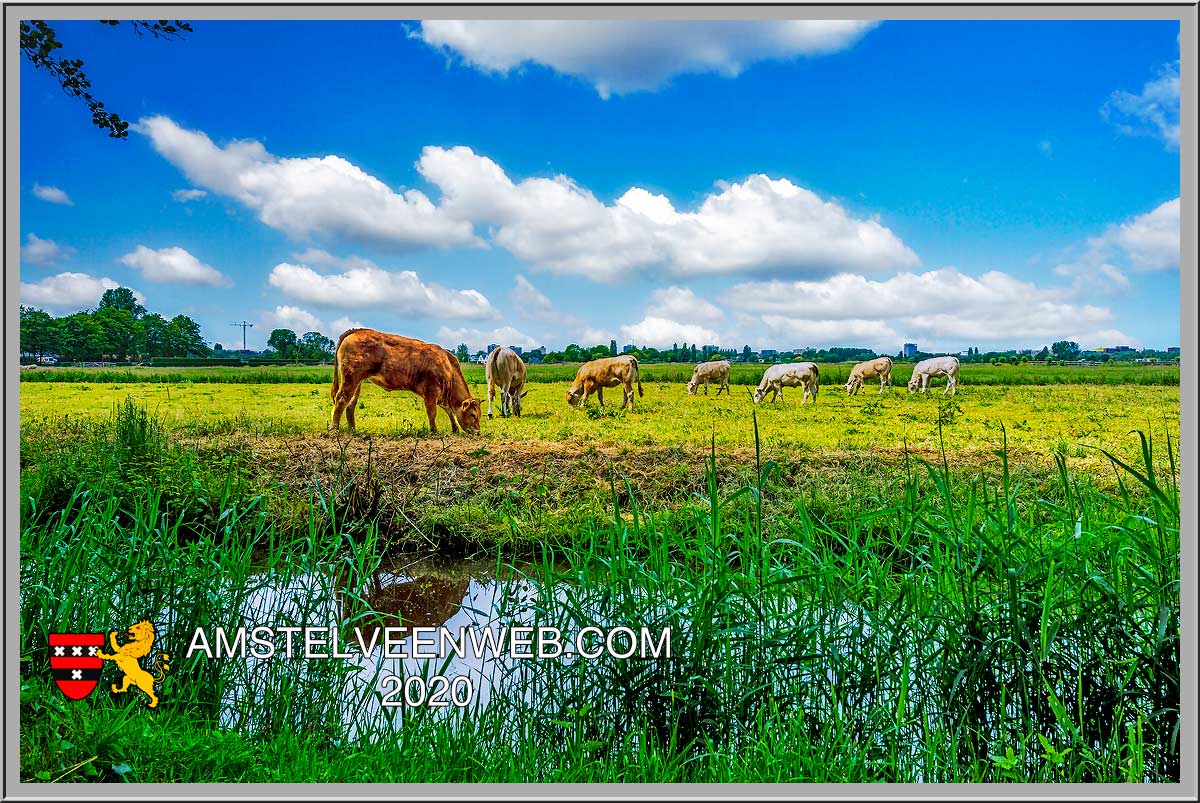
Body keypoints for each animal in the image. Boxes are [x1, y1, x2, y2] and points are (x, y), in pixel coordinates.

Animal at [328, 326, 482, 434]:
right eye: (473, 414)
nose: (478, 432)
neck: (448, 367)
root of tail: (356, 331)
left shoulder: (442, 396)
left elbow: (450, 411)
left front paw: (455, 428)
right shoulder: (432, 391)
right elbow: (432, 412)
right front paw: (434, 431)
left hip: (357, 381)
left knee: (351, 403)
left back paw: (352, 429)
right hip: (351, 377)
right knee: (341, 399)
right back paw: (334, 429)